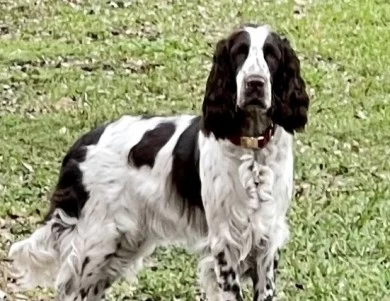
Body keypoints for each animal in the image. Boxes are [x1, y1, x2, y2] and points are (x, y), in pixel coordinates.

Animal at [7, 24, 310, 300]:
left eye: (271, 54)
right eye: (239, 53)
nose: (255, 83)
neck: (252, 151)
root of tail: (81, 144)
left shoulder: (266, 242)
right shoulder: (226, 243)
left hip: (120, 245)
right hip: (96, 242)